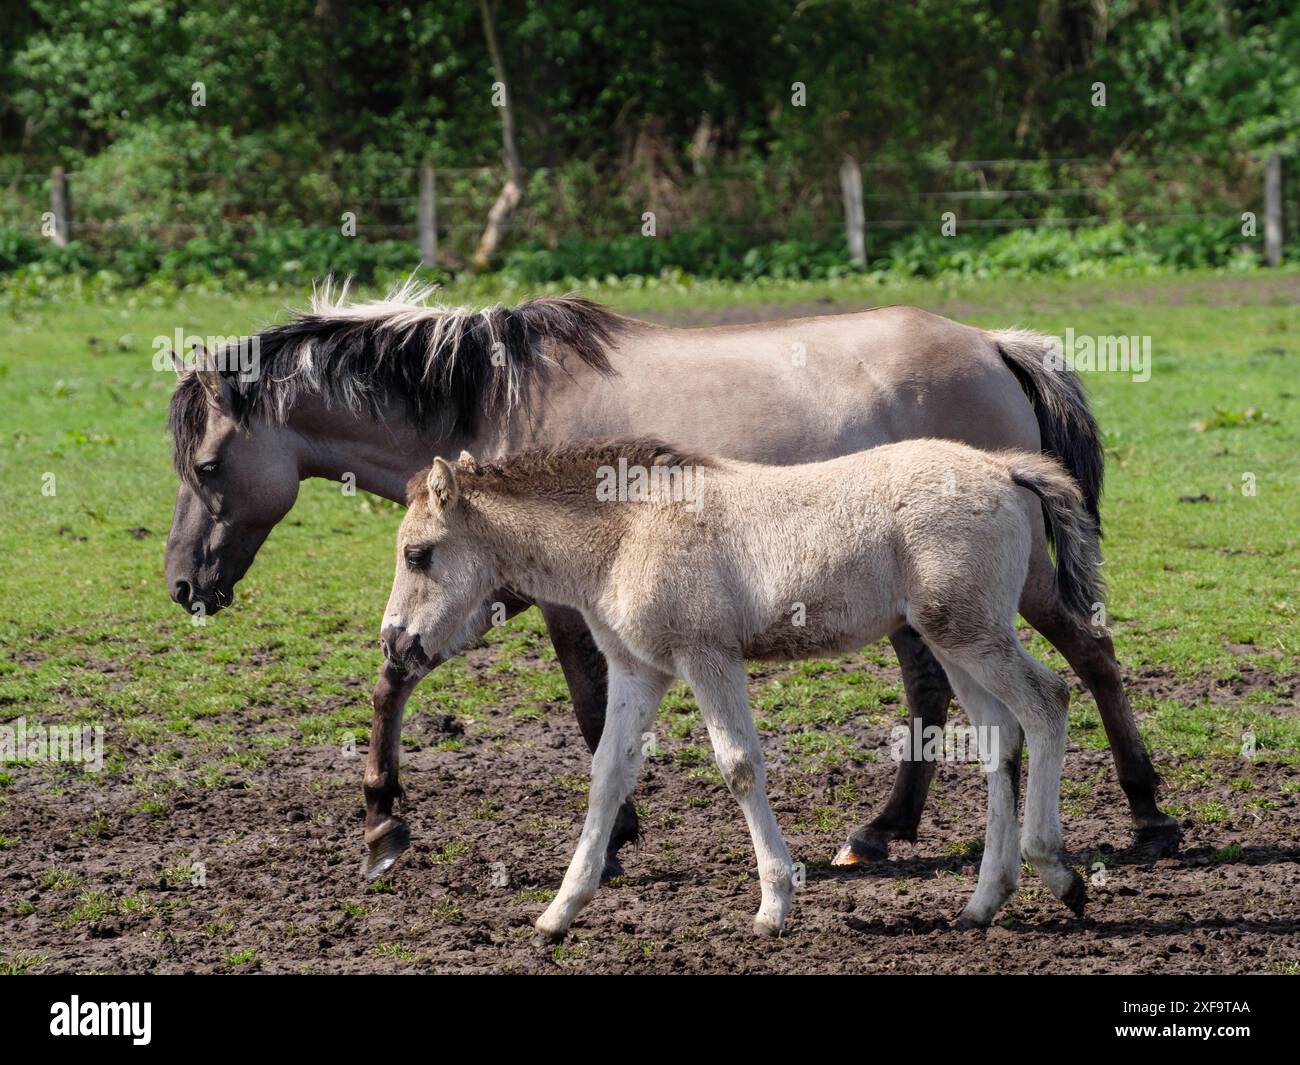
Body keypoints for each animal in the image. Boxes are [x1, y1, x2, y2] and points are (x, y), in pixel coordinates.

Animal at [163, 281, 1179, 877]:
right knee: (939, 693)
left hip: (1009, 585)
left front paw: (598, 837)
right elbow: (399, 673)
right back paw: (882, 829)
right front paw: (388, 822)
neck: (494, 403)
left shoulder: (542, 601)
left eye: (207, 466)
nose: (181, 585)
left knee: (1091, 654)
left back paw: (1149, 811)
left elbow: (568, 705)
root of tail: (996, 345)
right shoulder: (498, 592)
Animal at [379, 440, 1098, 938]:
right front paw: (559, 912)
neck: (627, 529)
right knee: (999, 737)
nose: (393, 642)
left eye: (418, 553)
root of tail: (1004, 469)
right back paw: (983, 901)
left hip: (971, 633)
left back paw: (1058, 870)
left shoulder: (708, 656)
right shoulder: (639, 668)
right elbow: (609, 772)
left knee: (1047, 702)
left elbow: (740, 765)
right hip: (952, 640)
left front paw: (774, 903)